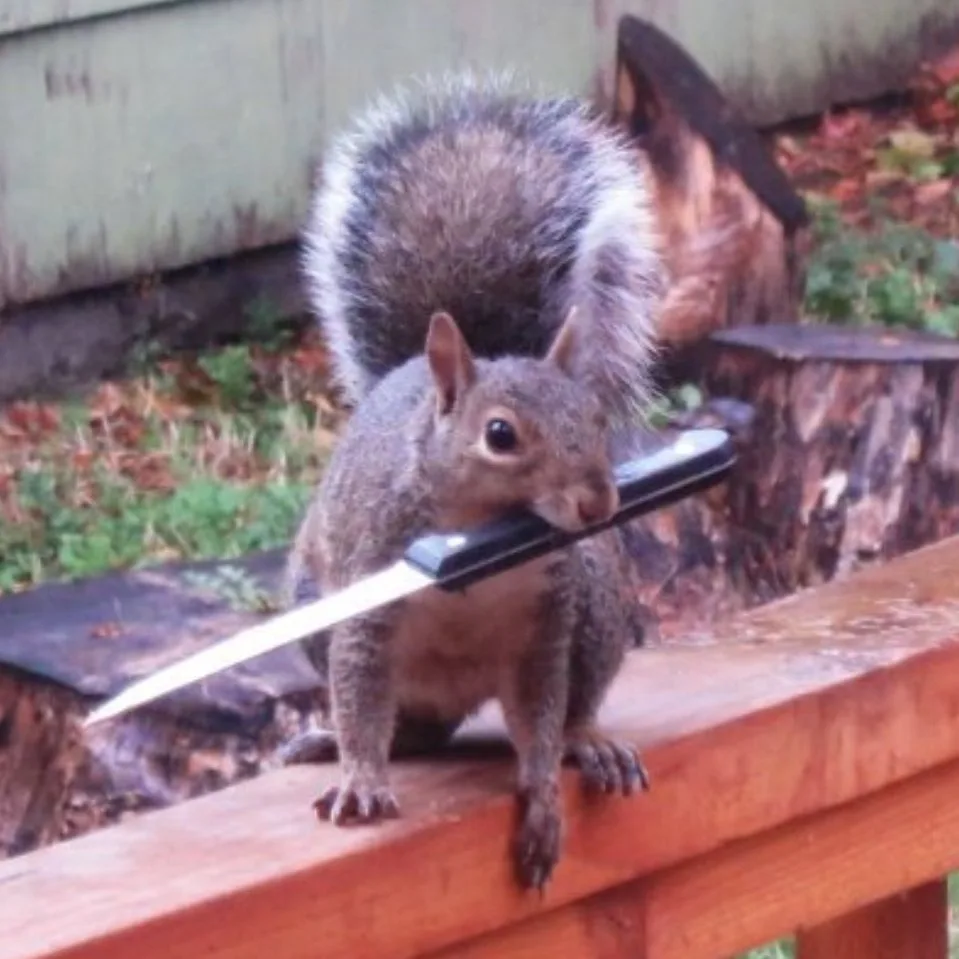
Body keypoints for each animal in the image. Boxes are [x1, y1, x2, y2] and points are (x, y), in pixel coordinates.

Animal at [278, 72, 664, 891]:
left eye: (596, 417)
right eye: (500, 436)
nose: (599, 503)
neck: (482, 534)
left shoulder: (545, 623)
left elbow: (541, 716)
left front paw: (544, 799)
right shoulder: (369, 590)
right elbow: (360, 693)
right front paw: (361, 778)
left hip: (595, 603)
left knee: (572, 704)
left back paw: (589, 739)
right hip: (314, 608)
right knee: (405, 730)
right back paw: (335, 743)